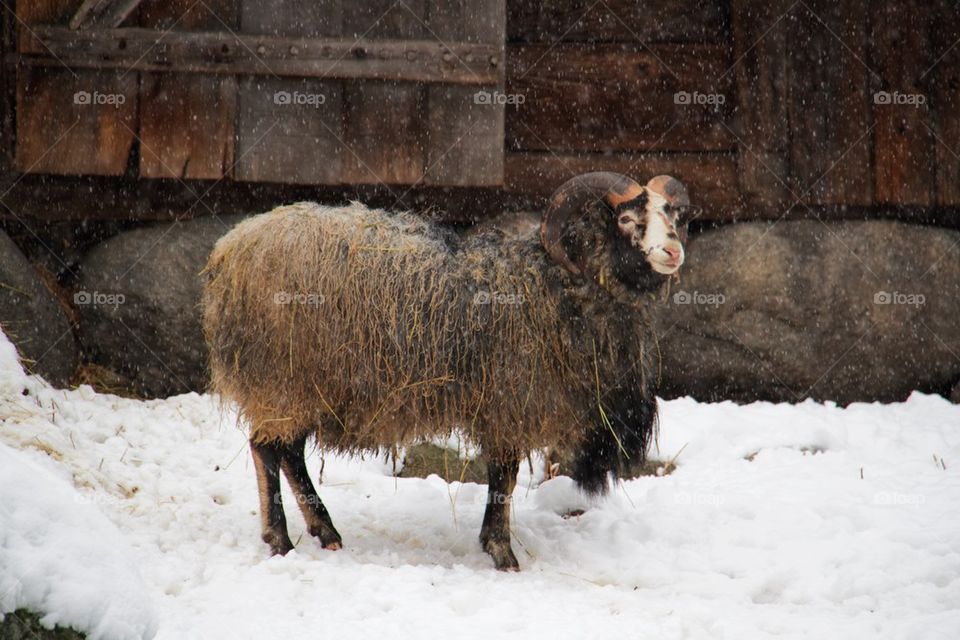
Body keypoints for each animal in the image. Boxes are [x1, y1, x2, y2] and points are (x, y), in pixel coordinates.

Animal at [202, 171, 688, 568]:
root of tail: (228, 250)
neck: (556, 282)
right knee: (267, 450)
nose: (673, 251)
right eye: (626, 219)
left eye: (672, 215)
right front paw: (501, 551)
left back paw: (326, 531)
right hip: (279, 379)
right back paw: (280, 540)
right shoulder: (508, 400)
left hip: (302, 386)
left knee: (289, 452)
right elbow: (505, 475)